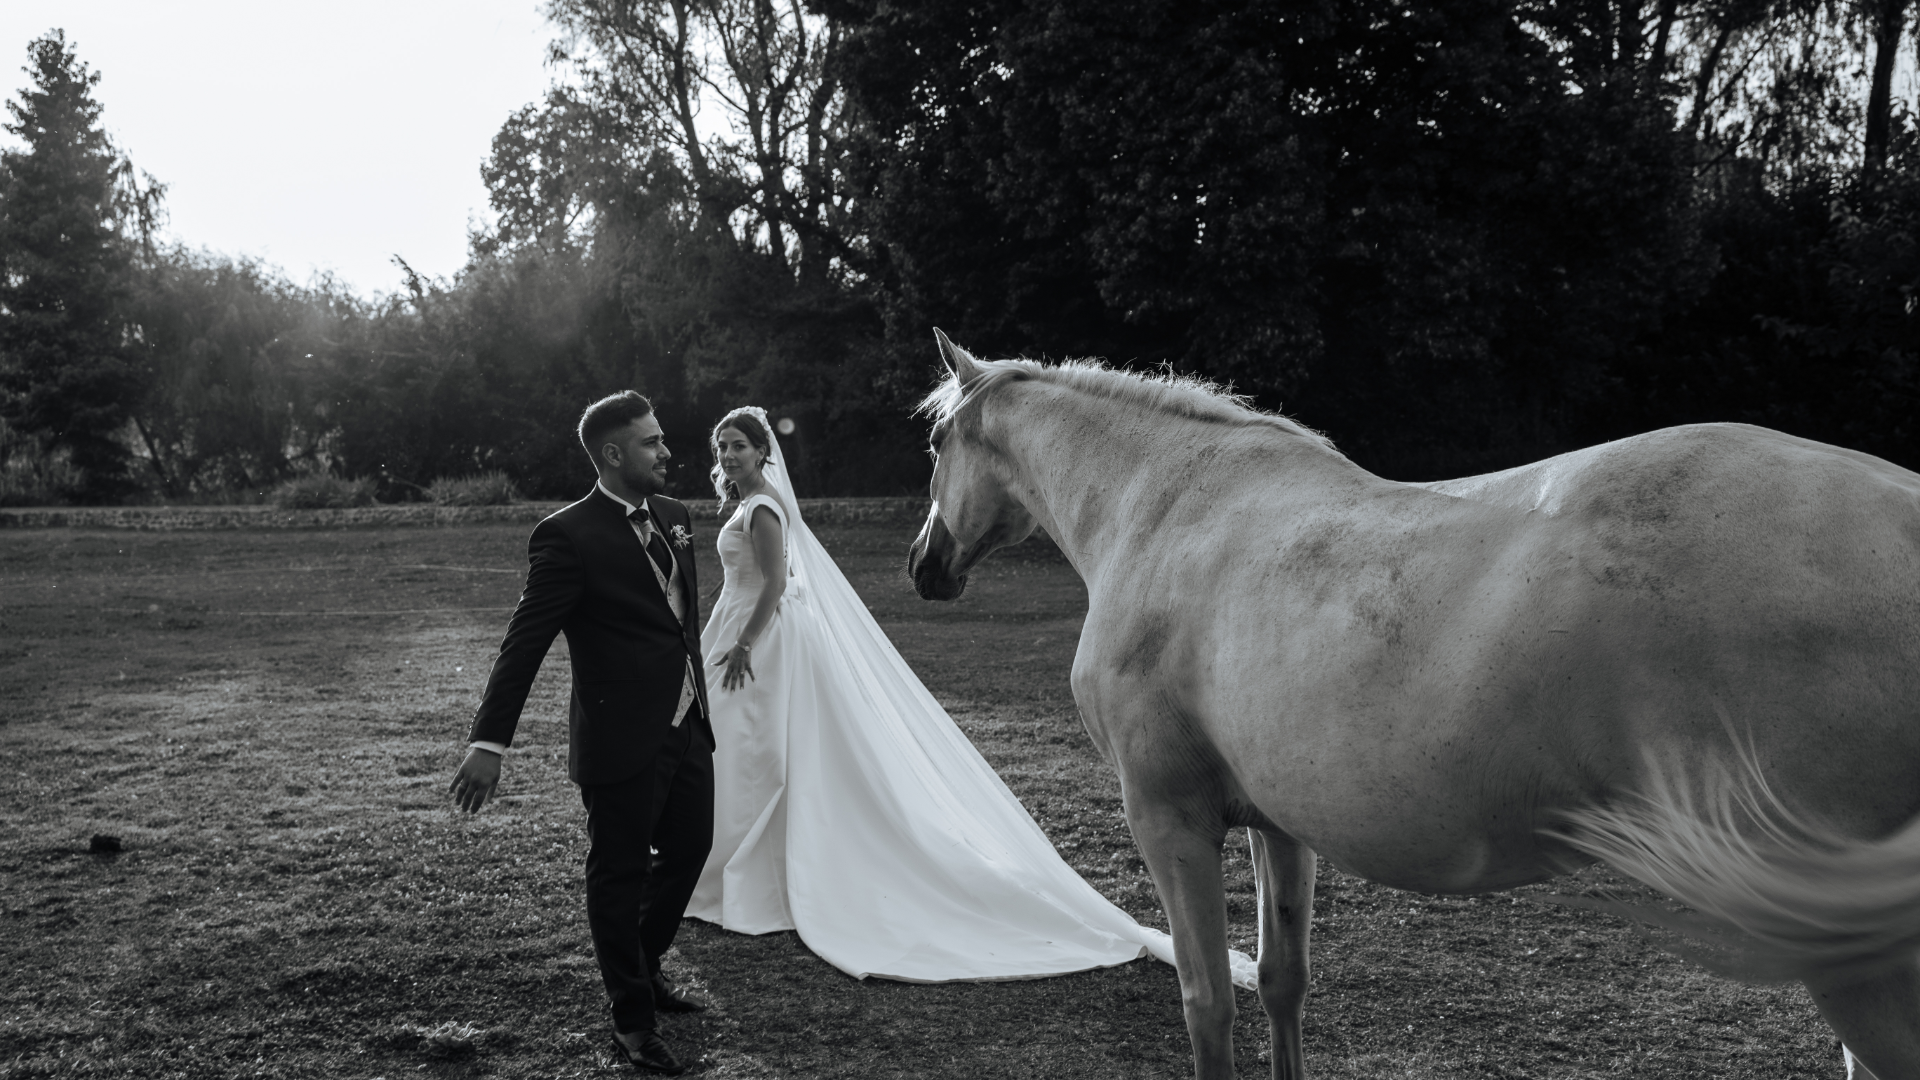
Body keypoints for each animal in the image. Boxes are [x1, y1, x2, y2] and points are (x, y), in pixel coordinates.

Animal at [910, 330, 1920, 1076]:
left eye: (933, 442)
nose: (926, 566)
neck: (1166, 508)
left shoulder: (1170, 818)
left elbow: (1208, 1006)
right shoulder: (1279, 824)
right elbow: (1281, 982)